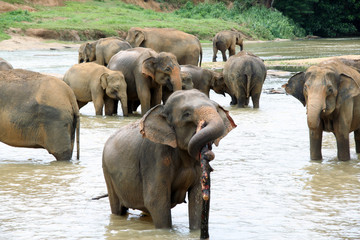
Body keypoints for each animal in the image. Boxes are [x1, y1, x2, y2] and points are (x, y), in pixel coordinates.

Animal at [102, 89, 236, 229]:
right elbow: (156, 200)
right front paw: (166, 231)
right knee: (117, 208)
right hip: (107, 174)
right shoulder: (155, 156)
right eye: (186, 114)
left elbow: (198, 199)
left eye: (216, 109)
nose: (208, 153)